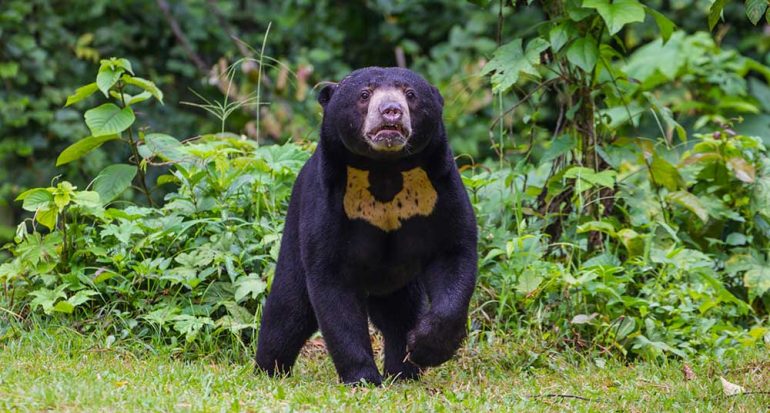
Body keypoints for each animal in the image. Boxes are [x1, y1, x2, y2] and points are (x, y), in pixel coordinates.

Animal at [255, 66, 476, 384]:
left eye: (410, 94)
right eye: (364, 94)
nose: (391, 111)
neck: (384, 169)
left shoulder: (440, 189)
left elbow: (454, 252)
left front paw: (425, 348)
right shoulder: (329, 199)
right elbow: (332, 285)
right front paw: (362, 378)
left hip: (400, 281)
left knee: (400, 315)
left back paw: (403, 372)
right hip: (294, 230)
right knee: (287, 310)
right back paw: (268, 369)